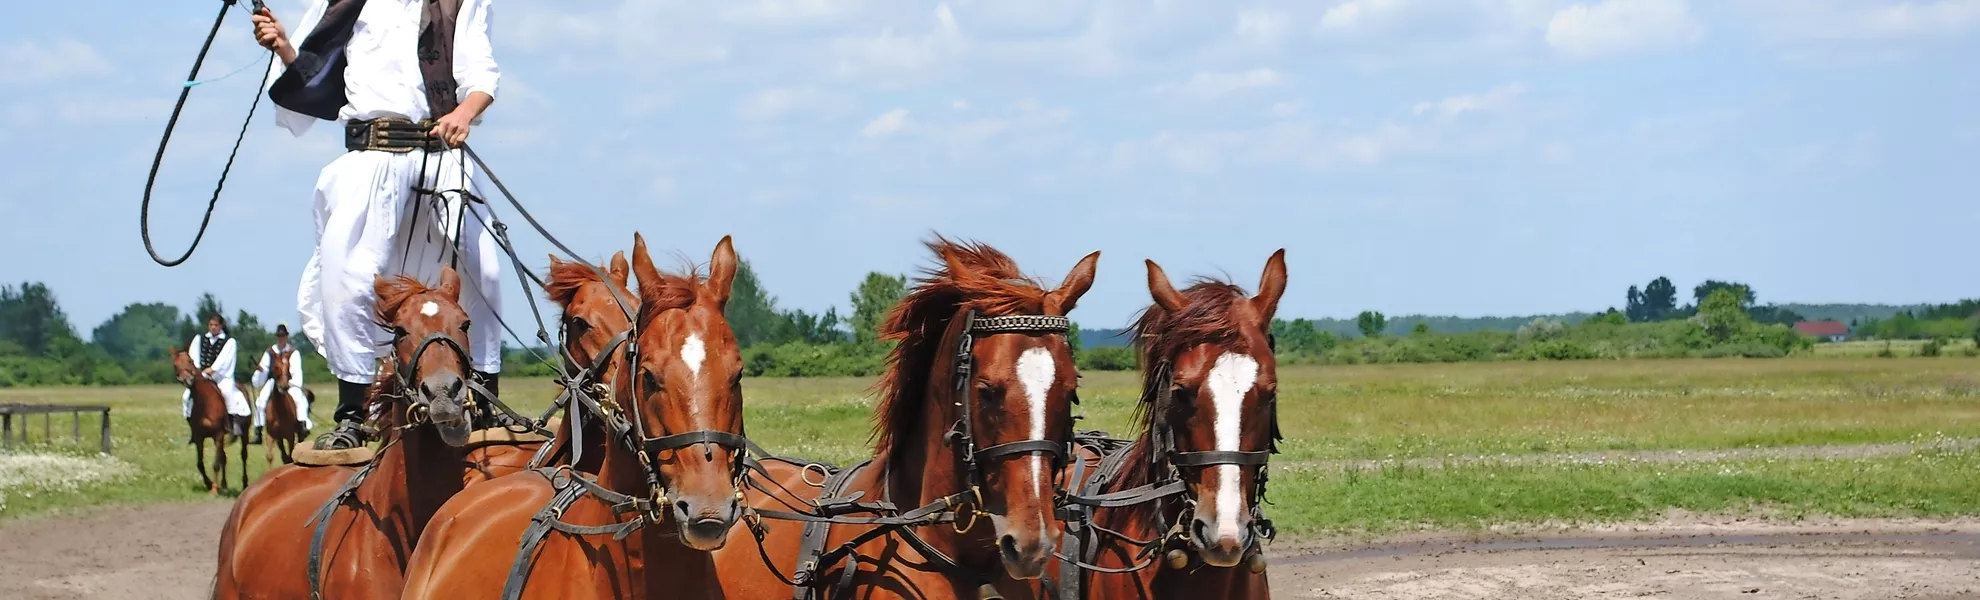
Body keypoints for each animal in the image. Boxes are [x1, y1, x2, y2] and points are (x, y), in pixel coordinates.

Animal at [174, 350, 249, 497]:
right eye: (175, 365)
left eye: (190, 361)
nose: (186, 379)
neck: (205, 403)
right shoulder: (199, 438)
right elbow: (200, 463)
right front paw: (209, 484)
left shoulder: (218, 435)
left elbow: (215, 464)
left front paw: (214, 489)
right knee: (223, 457)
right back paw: (224, 486)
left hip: (244, 433)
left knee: (243, 456)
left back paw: (244, 484)